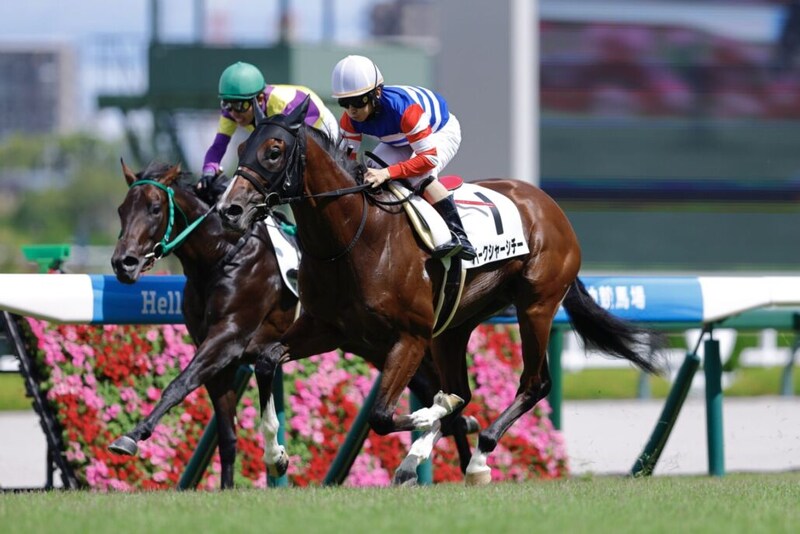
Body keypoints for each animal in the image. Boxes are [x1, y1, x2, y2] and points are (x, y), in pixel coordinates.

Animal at [109, 161, 474, 487]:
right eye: (121, 210)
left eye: (155, 208)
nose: (123, 263)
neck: (223, 258)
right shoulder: (219, 360)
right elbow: (226, 436)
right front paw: (228, 486)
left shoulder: (227, 339)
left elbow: (178, 384)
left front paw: (131, 435)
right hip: (380, 346)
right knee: (437, 393)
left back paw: (468, 462)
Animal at [216, 99, 663, 485]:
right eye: (242, 147)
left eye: (274, 151)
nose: (230, 210)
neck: (354, 237)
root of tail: (547, 205)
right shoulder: (328, 328)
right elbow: (266, 360)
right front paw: (275, 455)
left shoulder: (410, 336)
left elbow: (383, 415)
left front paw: (442, 418)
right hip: (454, 328)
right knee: (464, 389)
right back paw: (417, 459)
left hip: (536, 306)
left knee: (533, 384)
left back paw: (479, 457)